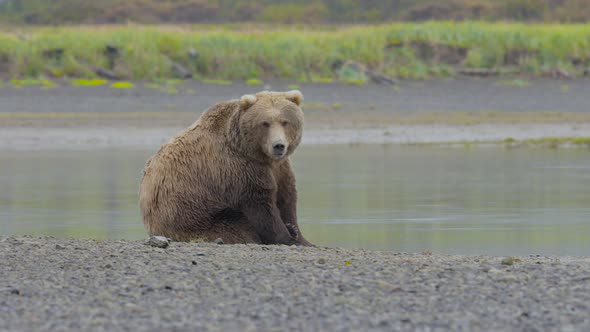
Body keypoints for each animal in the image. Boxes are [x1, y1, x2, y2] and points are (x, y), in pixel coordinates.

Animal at [139, 91, 314, 246]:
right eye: (265, 123)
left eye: (285, 121)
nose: (278, 145)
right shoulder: (240, 170)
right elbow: (262, 206)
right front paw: (287, 237)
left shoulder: (280, 168)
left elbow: (287, 199)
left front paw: (299, 235)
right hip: (192, 215)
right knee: (235, 227)